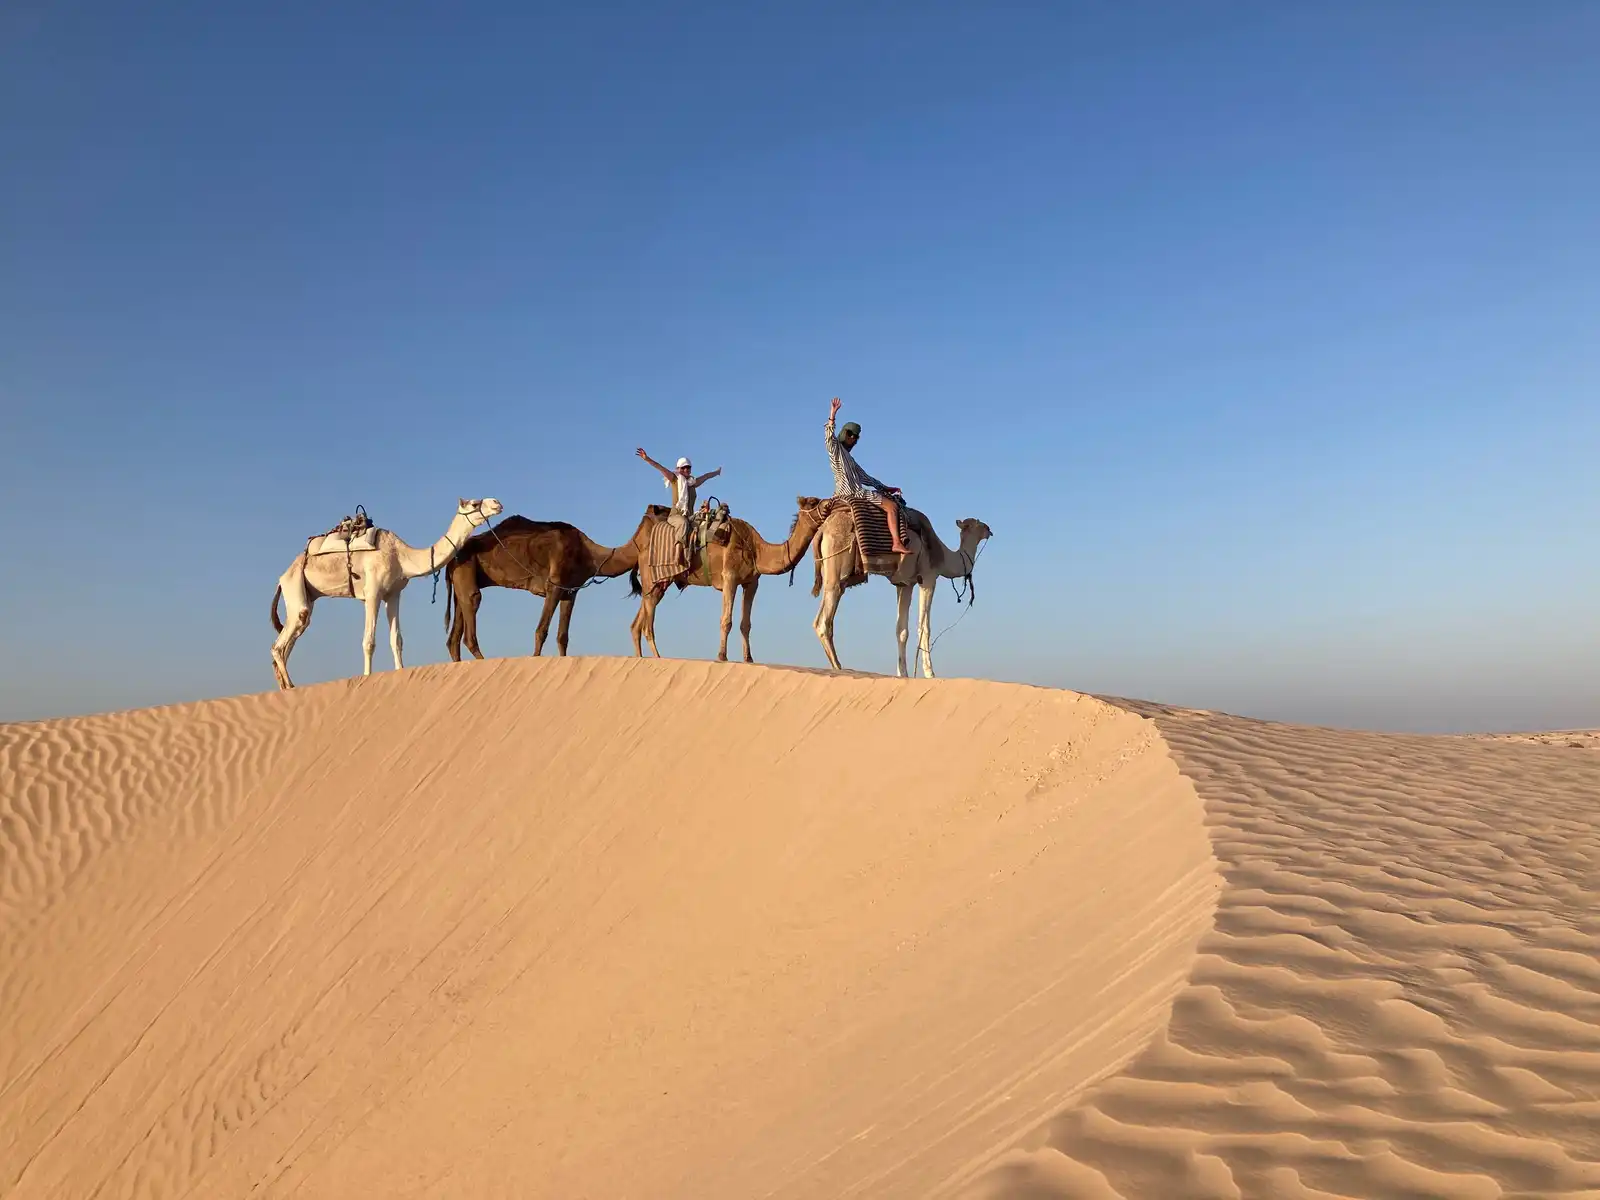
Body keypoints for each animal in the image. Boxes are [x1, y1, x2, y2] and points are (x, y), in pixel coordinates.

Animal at [270, 497, 503, 689]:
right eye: (474, 503)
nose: (497, 503)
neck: (401, 556)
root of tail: (283, 577)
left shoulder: (393, 594)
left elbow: (396, 640)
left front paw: (400, 672)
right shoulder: (373, 592)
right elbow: (369, 641)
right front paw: (366, 678)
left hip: (305, 594)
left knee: (289, 639)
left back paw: (285, 688)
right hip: (295, 586)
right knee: (280, 644)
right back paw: (290, 686)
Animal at [443, 510, 658, 660]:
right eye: (662, 511)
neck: (590, 555)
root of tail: (449, 561)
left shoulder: (571, 592)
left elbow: (563, 636)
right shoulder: (554, 586)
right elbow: (541, 631)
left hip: (461, 579)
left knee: (454, 636)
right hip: (465, 567)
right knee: (471, 611)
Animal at [629, 496, 833, 663]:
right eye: (813, 501)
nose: (830, 503)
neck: (756, 549)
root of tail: (641, 552)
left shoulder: (752, 582)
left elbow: (746, 624)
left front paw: (748, 658)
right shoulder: (730, 578)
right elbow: (726, 620)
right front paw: (722, 656)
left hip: (659, 584)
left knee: (639, 618)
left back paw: (641, 657)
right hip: (653, 578)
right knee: (648, 621)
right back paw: (657, 657)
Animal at [810, 502, 992, 678]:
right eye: (979, 524)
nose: (990, 530)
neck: (943, 556)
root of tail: (823, 530)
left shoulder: (905, 584)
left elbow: (901, 630)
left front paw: (902, 673)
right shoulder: (928, 578)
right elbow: (924, 627)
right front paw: (929, 673)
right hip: (837, 562)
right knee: (823, 621)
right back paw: (838, 667)